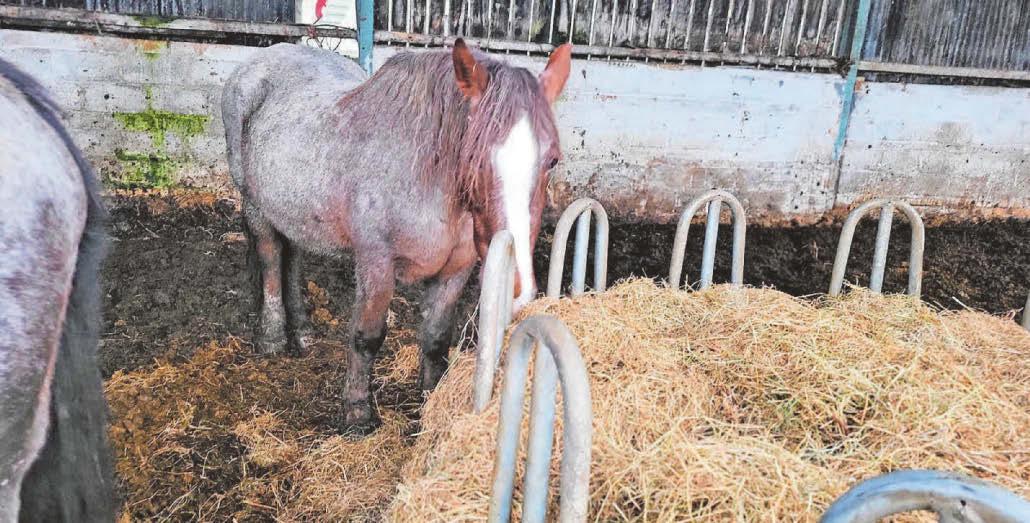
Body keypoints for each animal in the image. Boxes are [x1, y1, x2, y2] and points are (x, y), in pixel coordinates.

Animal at [222, 38, 572, 433]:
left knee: (293, 256)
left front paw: (430, 399)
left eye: (552, 160)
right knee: (269, 257)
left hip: (294, 208)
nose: (517, 285)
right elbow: (366, 337)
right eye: (474, 157)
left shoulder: (456, 269)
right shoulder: (376, 263)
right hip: (255, 205)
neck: (423, 178)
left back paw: (303, 330)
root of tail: (264, 57)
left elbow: (436, 338)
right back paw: (273, 335)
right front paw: (357, 413)